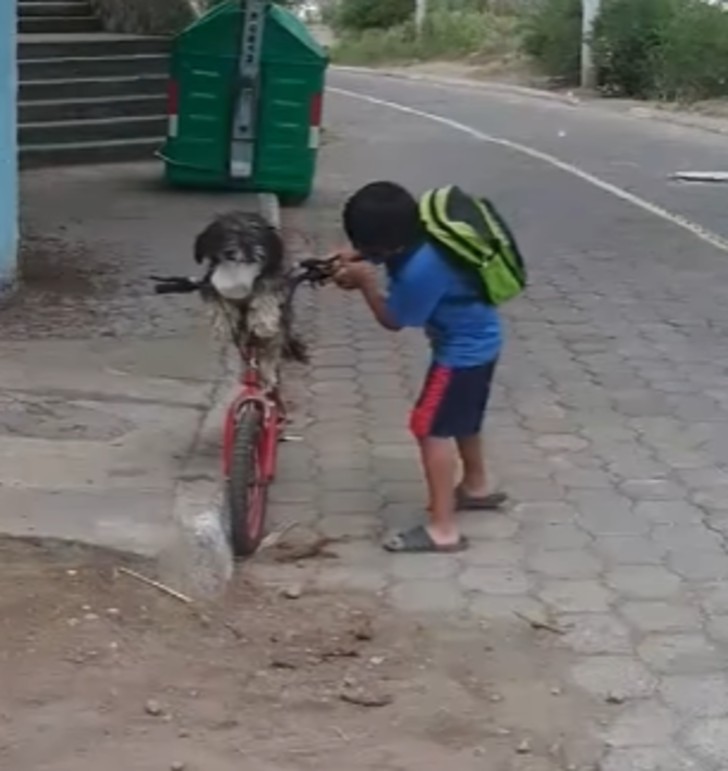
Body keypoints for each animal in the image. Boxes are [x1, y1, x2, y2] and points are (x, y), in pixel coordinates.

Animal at [193, 211, 308, 390]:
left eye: (256, 258)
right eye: (230, 255)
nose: (238, 284)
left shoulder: (273, 280)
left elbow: (266, 294)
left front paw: (263, 321)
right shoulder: (210, 283)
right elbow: (218, 301)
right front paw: (222, 324)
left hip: (282, 325)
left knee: (272, 348)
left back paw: (269, 374)